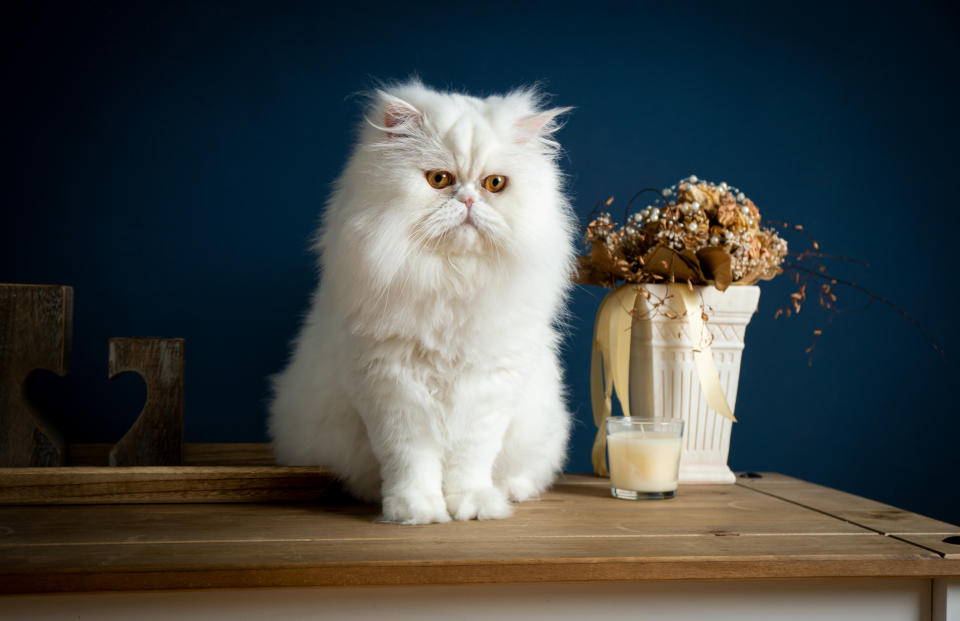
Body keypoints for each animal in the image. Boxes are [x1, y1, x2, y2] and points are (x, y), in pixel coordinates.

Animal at [266, 81, 572, 524]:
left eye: (494, 184)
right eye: (439, 179)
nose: (468, 200)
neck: (452, 282)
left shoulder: (489, 386)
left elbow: (471, 459)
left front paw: (474, 506)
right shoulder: (390, 385)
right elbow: (410, 460)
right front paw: (416, 511)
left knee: (527, 472)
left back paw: (509, 492)